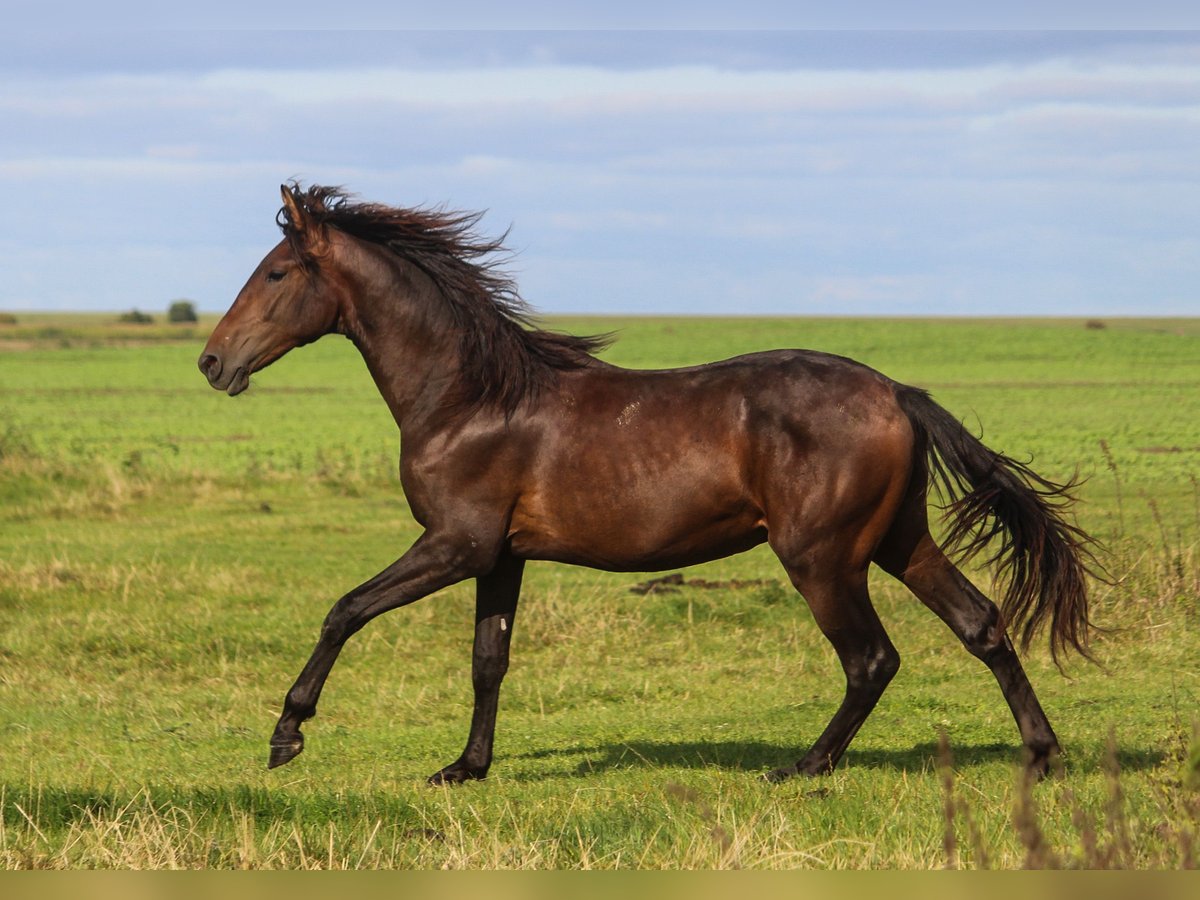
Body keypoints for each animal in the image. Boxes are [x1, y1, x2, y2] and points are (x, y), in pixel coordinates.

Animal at [199, 187, 1099, 787]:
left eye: (276, 272)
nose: (212, 362)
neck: (469, 398)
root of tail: (897, 393)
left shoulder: (454, 544)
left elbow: (345, 609)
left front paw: (286, 735)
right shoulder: (500, 556)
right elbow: (489, 659)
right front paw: (464, 767)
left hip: (823, 558)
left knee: (871, 659)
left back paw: (802, 767)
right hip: (898, 542)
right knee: (982, 625)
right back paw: (1042, 757)